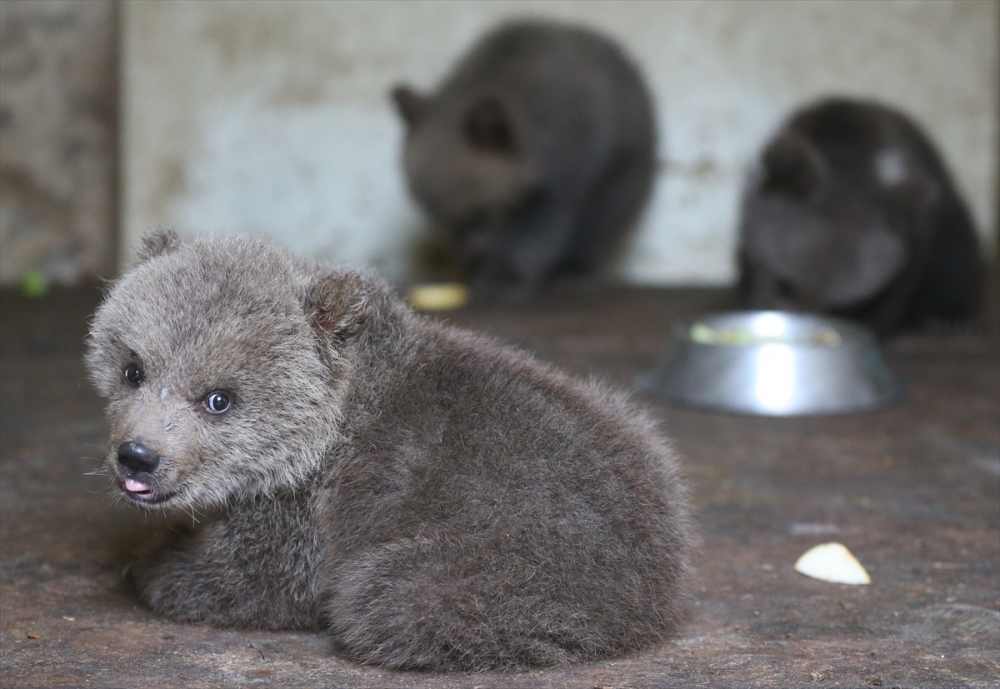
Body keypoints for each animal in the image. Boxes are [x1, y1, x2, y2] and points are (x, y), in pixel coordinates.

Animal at [390, 18, 656, 298]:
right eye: (431, 212)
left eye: (478, 211)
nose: (466, 257)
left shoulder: (562, 178)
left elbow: (538, 232)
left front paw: (507, 274)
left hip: (623, 175)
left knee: (600, 221)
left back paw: (576, 268)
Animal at [736, 97, 984, 336]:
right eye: (785, 286)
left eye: (840, 308)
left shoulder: (912, 239)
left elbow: (896, 293)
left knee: (955, 251)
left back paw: (948, 317)